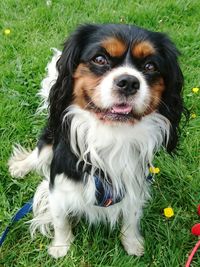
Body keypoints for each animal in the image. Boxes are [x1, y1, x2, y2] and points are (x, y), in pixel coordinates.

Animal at [7, 24, 184, 258]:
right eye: (100, 59)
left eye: (150, 66)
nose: (129, 82)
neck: (112, 134)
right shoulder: (58, 187)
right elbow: (60, 219)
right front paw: (61, 247)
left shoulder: (134, 183)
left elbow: (131, 216)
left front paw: (132, 243)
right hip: (51, 134)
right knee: (40, 152)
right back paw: (20, 167)